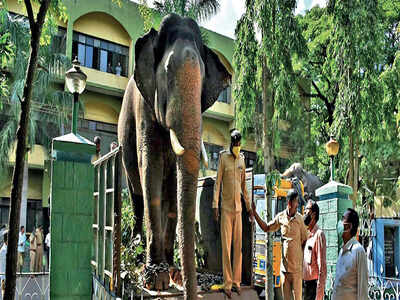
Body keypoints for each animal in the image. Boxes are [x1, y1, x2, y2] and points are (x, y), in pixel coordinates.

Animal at [118, 14, 231, 300]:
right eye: (167, 71)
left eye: (203, 77)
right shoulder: (145, 108)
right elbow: (151, 169)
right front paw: (155, 279)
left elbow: (172, 189)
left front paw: (172, 273)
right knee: (137, 192)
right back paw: (136, 252)